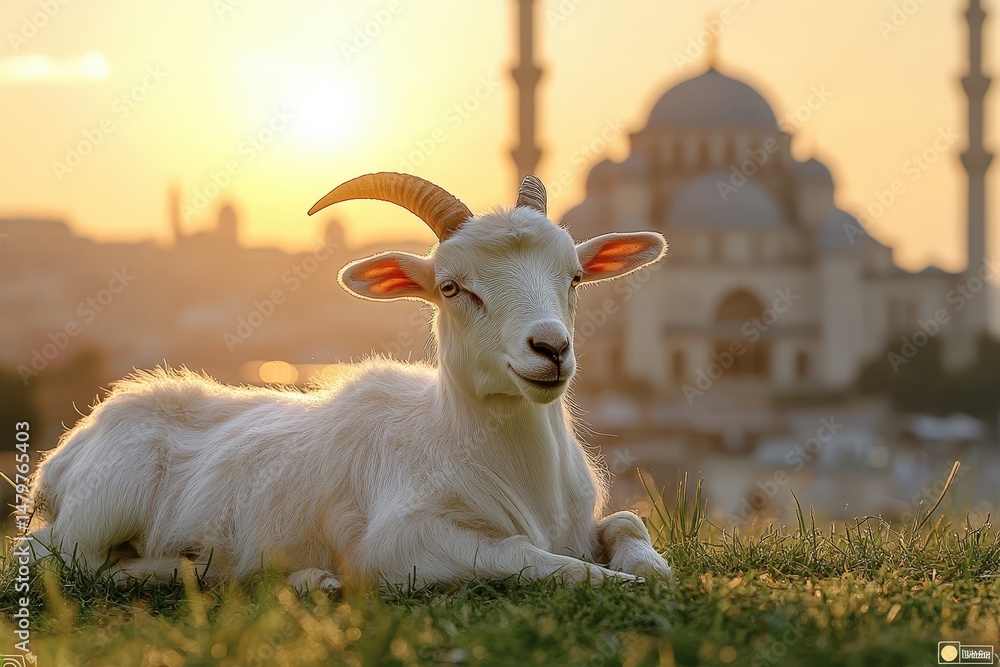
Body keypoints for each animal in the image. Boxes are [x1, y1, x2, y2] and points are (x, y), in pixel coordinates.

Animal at [26, 173, 671, 591]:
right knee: (52, 559)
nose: (551, 349)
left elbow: (628, 521)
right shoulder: (400, 544)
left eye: (575, 277)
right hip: (101, 504)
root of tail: (62, 455)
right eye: (452, 287)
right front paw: (625, 584)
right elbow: (529, 557)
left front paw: (652, 569)